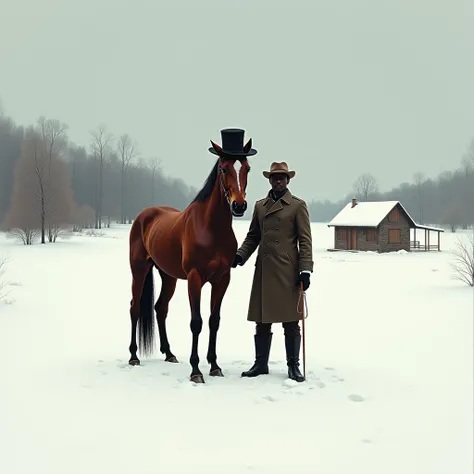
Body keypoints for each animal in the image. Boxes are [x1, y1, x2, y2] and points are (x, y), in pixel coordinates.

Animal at [129, 129, 256, 382]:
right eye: (223, 168)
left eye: (246, 168)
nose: (239, 206)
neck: (211, 228)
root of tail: (144, 216)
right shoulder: (195, 278)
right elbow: (196, 322)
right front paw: (196, 370)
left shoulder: (222, 279)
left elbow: (214, 321)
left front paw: (214, 365)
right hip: (139, 271)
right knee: (134, 307)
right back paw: (133, 356)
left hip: (168, 276)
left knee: (160, 308)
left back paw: (169, 353)